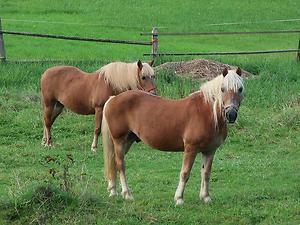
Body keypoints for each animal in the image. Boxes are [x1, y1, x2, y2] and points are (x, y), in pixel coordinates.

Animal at [102, 66, 245, 204]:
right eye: (222, 89)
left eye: (240, 89)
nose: (231, 115)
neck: (208, 113)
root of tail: (113, 99)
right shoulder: (191, 149)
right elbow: (185, 173)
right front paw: (179, 198)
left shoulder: (210, 151)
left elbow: (206, 173)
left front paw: (205, 197)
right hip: (119, 140)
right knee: (120, 164)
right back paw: (127, 194)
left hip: (128, 141)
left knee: (114, 163)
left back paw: (113, 191)